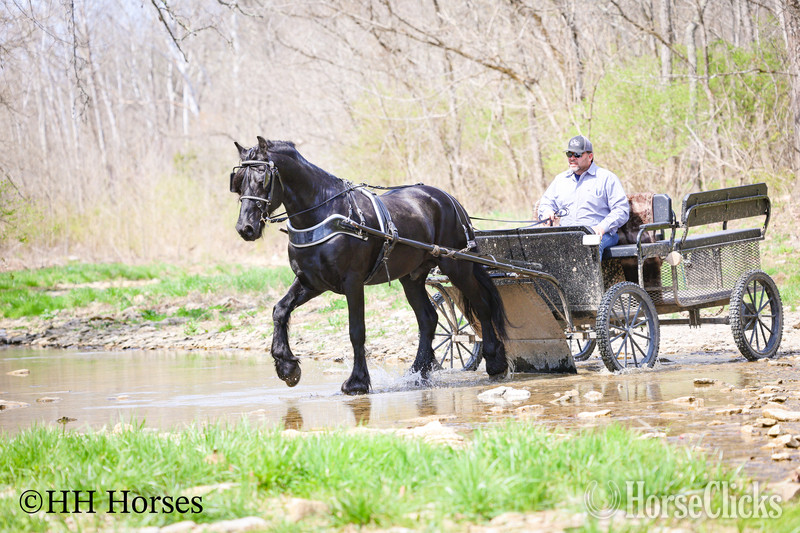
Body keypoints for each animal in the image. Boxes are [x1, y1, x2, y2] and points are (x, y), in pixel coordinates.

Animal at [229, 137, 507, 395]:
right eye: (238, 181)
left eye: (262, 178)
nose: (245, 228)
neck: (324, 213)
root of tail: (448, 199)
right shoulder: (311, 282)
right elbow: (280, 310)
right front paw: (287, 367)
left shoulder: (352, 282)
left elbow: (356, 330)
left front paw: (357, 382)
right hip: (412, 276)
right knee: (428, 319)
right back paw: (419, 373)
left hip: (456, 266)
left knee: (482, 306)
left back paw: (496, 362)